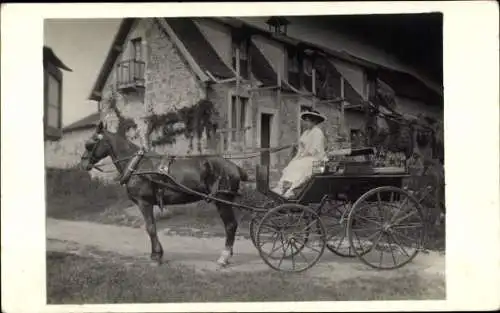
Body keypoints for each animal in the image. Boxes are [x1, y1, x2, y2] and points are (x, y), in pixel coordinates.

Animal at [79, 121, 249, 266]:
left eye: (90, 144)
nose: (82, 163)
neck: (138, 166)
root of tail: (233, 166)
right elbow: (152, 227)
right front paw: (157, 253)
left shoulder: (144, 203)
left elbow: (150, 227)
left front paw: (156, 256)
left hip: (222, 200)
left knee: (231, 225)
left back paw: (224, 257)